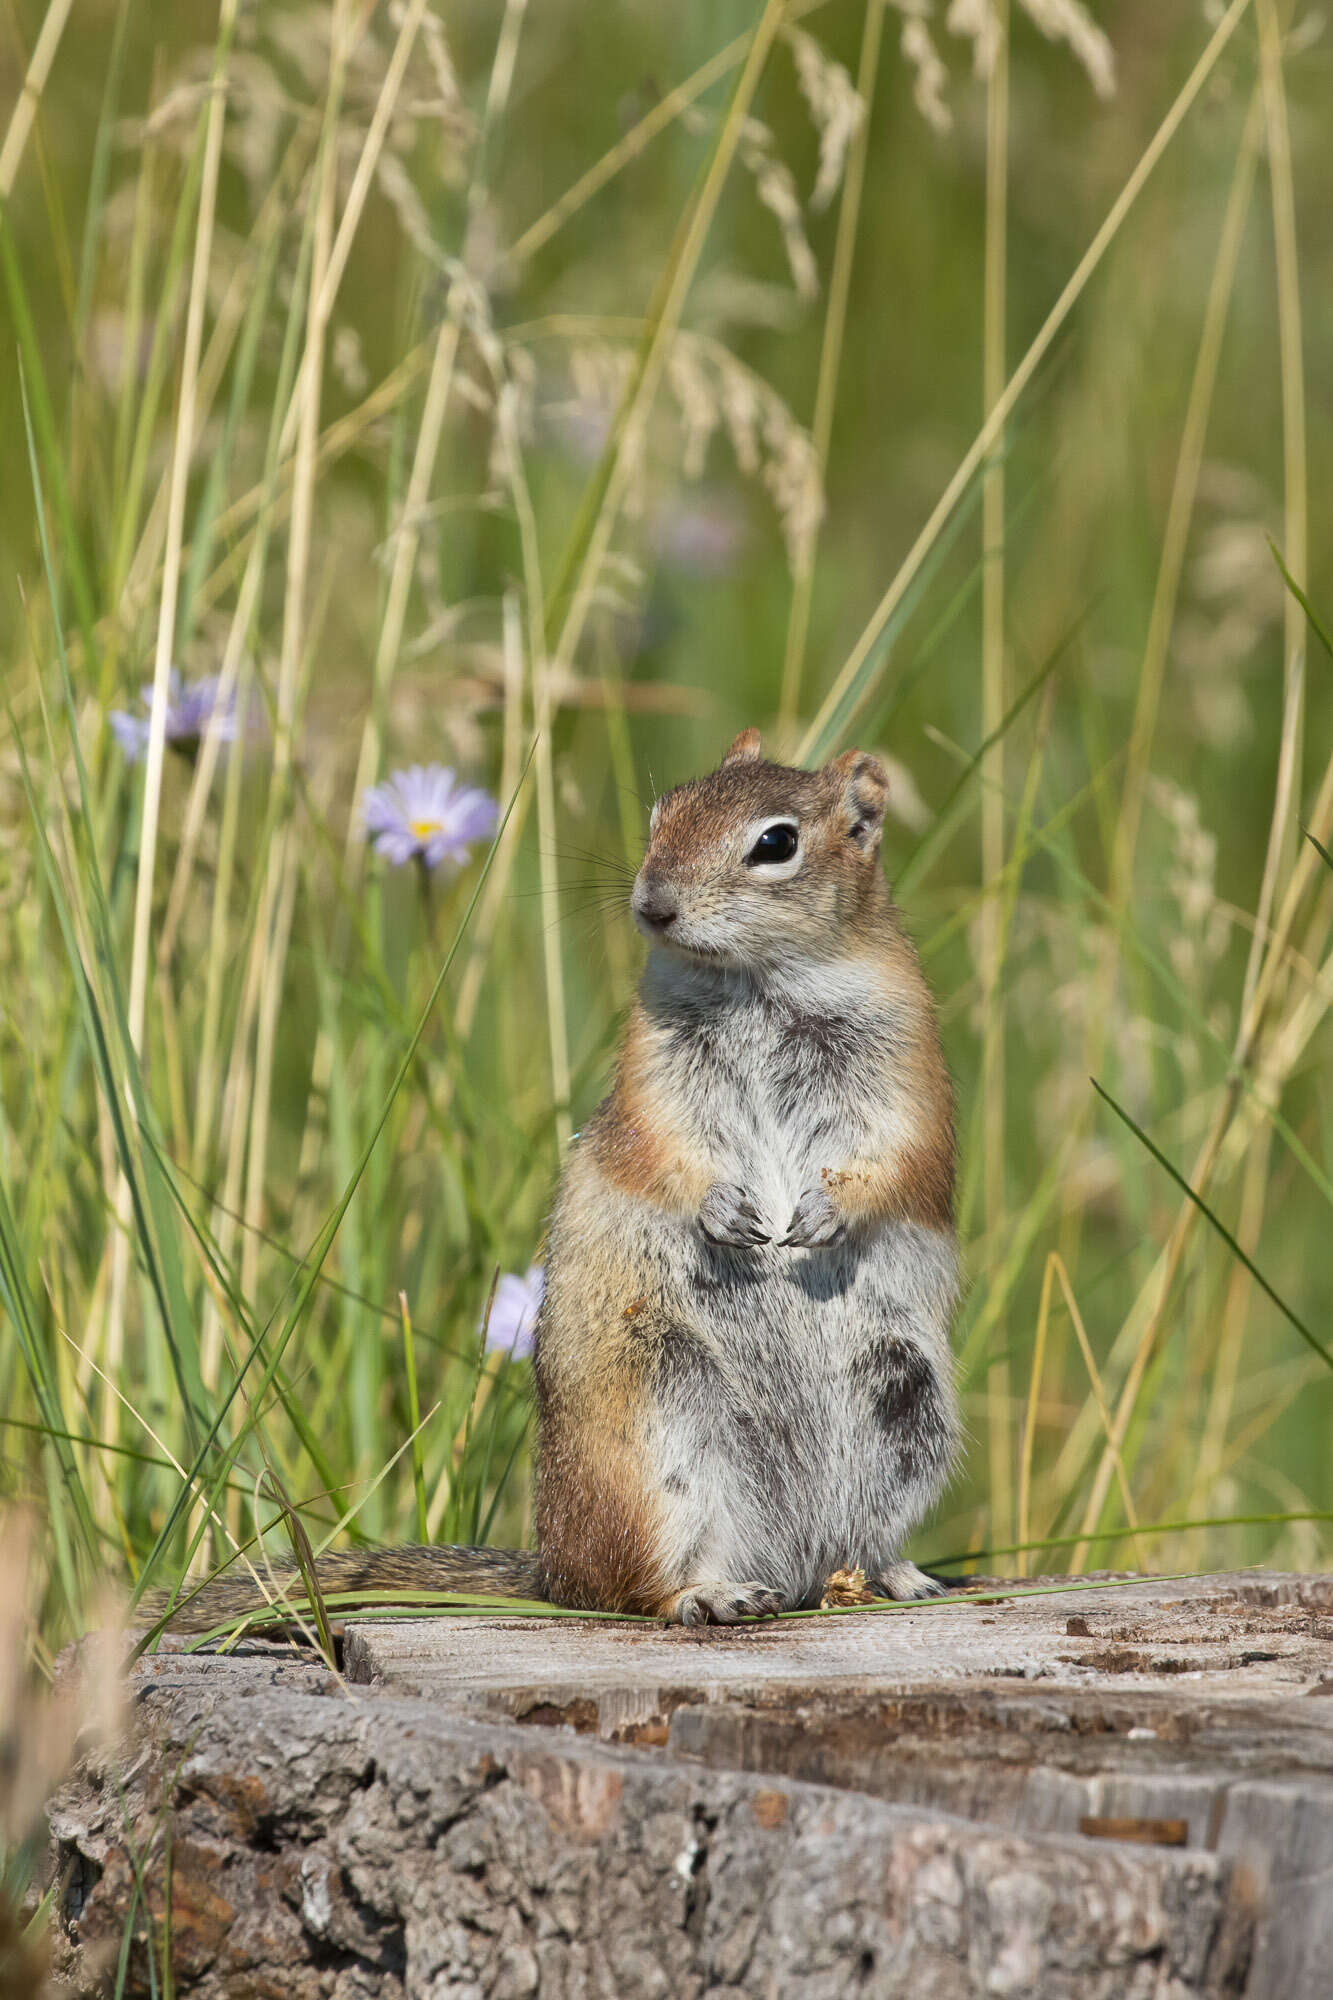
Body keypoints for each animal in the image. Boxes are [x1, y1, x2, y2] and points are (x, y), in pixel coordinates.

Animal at [156, 736, 956, 1624]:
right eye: (662, 812)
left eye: (776, 843)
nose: (653, 904)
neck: (758, 983)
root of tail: (552, 1570)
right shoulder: (647, 1082)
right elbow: (661, 1153)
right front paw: (721, 1209)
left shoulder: (908, 1067)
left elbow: (902, 1159)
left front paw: (823, 1212)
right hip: (658, 1433)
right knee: (633, 1589)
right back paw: (707, 1594)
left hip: (907, 1408)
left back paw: (892, 1573)